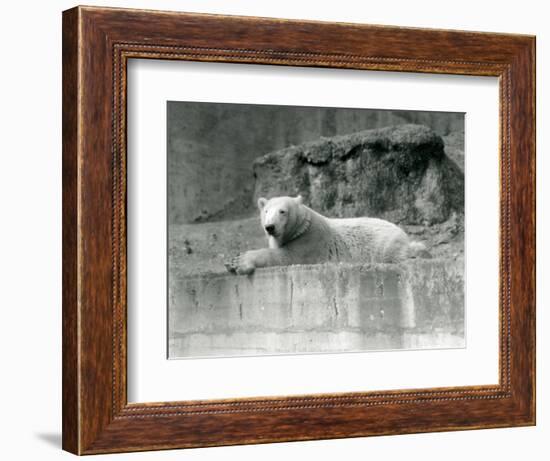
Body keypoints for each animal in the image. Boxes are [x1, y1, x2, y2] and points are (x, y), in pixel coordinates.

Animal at [226, 194, 430, 274]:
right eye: (266, 211)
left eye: (282, 211)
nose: (270, 227)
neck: (302, 226)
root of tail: (402, 232)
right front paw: (230, 262)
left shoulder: (309, 240)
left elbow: (286, 256)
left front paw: (239, 261)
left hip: (384, 244)